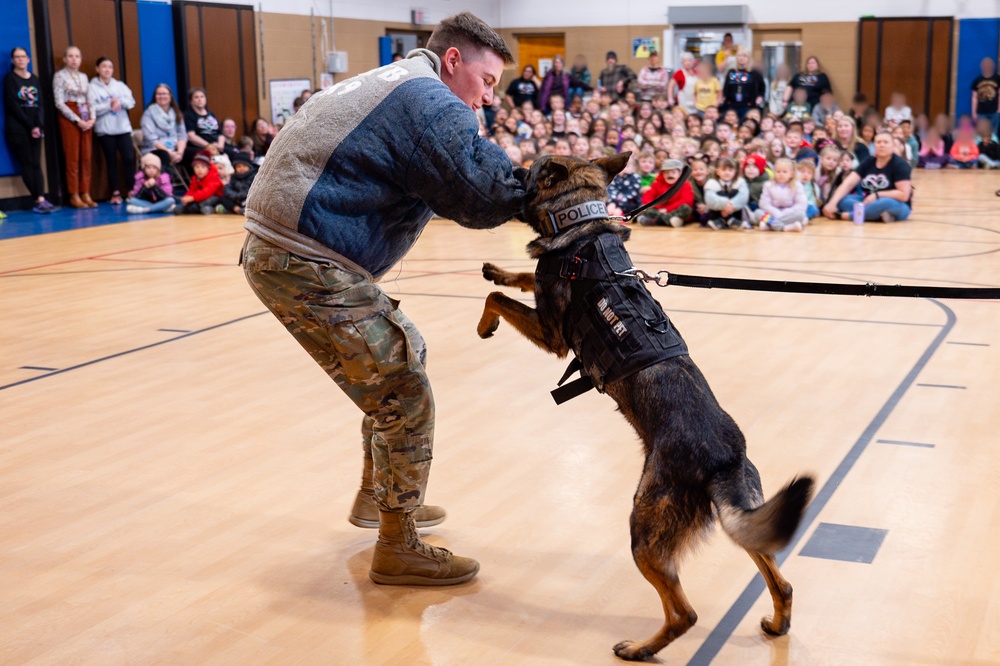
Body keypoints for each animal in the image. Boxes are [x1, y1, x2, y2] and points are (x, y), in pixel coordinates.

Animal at [480, 154, 816, 660]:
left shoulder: (551, 335)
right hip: (746, 518)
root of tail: (723, 459)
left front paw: (487, 320)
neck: (580, 224)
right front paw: (501, 270)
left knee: (684, 614)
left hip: (645, 529)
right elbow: (518, 281)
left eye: (528, 169)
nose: (508, 170)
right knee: (782, 581)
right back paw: (777, 626)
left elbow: (498, 299)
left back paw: (639, 649)